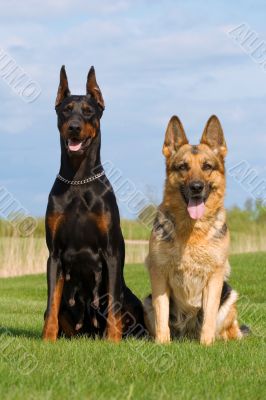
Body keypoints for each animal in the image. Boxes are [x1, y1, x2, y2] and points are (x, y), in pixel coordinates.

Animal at [42, 67, 144, 342]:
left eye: (88, 111)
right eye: (66, 110)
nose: (74, 128)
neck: (78, 182)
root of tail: (88, 332)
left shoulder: (111, 252)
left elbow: (113, 306)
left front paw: (113, 341)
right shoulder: (54, 255)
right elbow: (51, 304)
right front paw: (47, 339)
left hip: (134, 300)